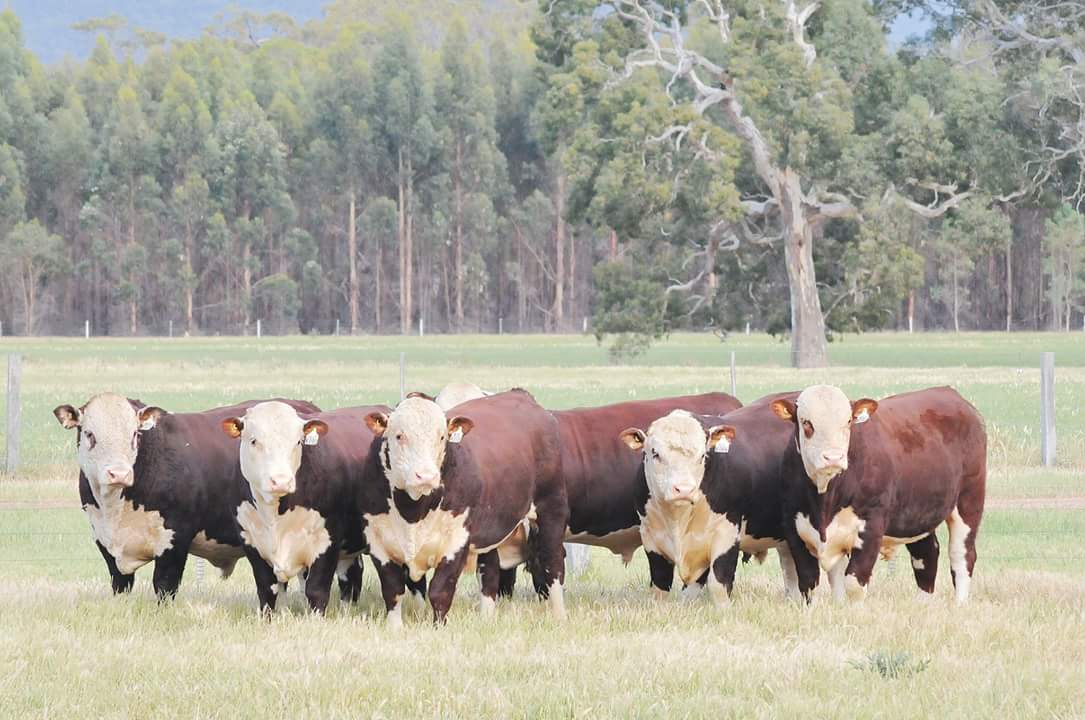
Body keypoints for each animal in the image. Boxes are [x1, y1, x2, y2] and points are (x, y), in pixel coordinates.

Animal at [52, 394, 319, 599]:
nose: (119, 474)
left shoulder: (174, 540)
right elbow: (120, 586)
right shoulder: (105, 542)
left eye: (134, 435)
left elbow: (164, 586)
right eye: (89, 434)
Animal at [221, 402, 428, 613]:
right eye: (254, 441)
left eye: (298, 442)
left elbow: (316, 590)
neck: (275, 516)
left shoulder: (327, 542)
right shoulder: (251, 543)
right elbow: (267, 591)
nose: (281, 481)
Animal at [361, 389, 566, 625]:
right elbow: (393, 591)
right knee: (489, 575)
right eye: (399, 436)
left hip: (551, 511)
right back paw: (486, 618)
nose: (426, 476)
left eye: (442, 437)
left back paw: (560, 615)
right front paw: (395, 628)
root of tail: (521, 395)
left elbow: (440, 592)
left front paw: (438, 627)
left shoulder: (456, 541)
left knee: (553, 565)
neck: (413, 513)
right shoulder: (379, 543)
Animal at [771, 385, 986, 603]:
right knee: (927, 555)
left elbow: (854, 583)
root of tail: (948, 392)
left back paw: (959, 603)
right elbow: (809, 583)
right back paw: (922, 604)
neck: (824, 501)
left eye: (848, 422)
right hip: (918, 514)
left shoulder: (871, 526)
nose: (833, 457)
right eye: (806, 422)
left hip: (969, 500)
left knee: (962, 555)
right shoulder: (795, 529)